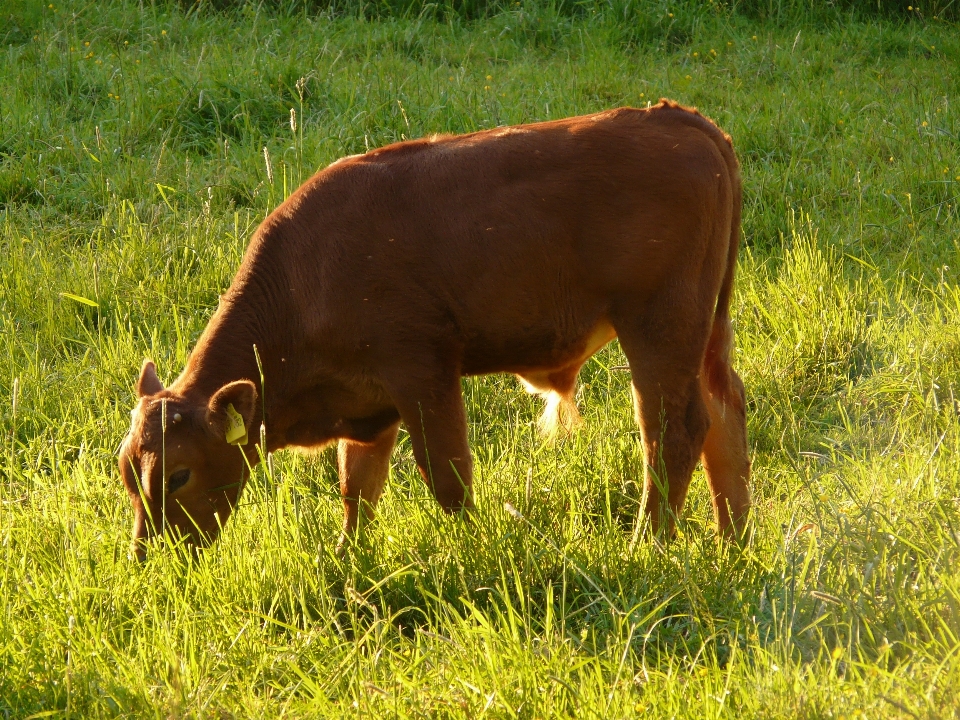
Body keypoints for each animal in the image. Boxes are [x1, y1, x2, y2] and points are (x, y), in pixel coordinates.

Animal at [118, 100, 752, 556]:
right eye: (127, 474)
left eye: (179, 475)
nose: (151, 558)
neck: (305, 277)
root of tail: (678, 119)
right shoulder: (368, 407)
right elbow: (357, 491)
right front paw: (349, 561)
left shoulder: (422, 372)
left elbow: (448, 477)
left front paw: (472, 549)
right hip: (707, 328)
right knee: (725, 413)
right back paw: (733, 543)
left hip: (660, 324)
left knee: (673, 431)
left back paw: (648, 545)